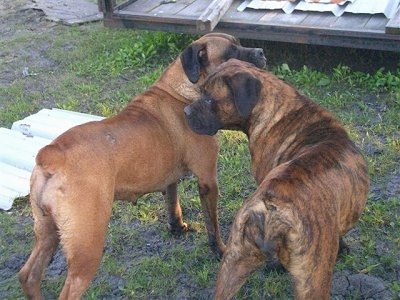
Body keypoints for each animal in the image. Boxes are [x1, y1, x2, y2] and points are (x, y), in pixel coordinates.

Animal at [20, 34, 268, 298]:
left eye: (240, 43)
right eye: (231, 53)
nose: (261, 52)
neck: (183, 90)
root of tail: (51, 154)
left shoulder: (171, 179)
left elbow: (173, 203)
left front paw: (177, 227)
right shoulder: (208, 180)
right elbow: (213, 225)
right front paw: (219, 250)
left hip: (47, 232)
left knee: (29, 275)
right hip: (87, 247)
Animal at [184, 59, 368, 300]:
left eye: (208, 99)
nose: (185, 111)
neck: (276, 109)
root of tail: (269, 206)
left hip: (233, 263)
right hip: (312, 282)